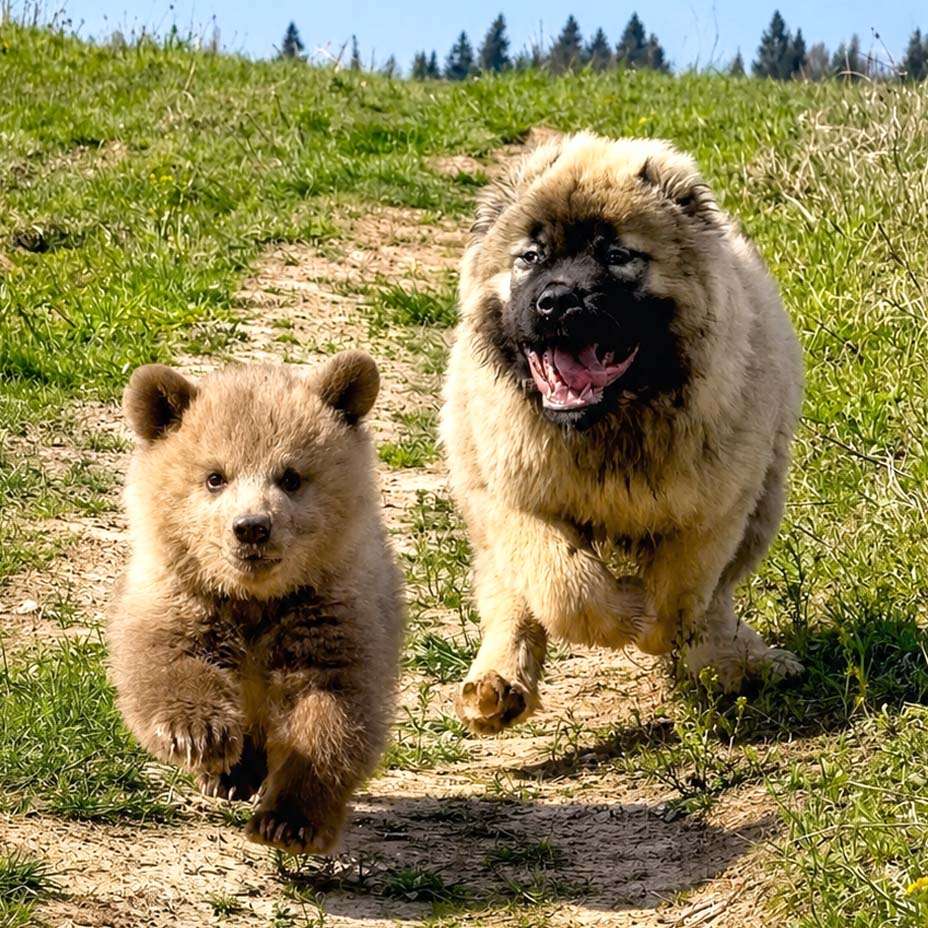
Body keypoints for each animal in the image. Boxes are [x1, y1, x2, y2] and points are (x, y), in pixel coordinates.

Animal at [107, 351, 405, 854]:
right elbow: (167, 660)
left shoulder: (328, 613)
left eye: (291, 476)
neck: (255, 598)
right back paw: (230, 775)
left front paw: (289, 821)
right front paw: (201, 735)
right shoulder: (186, 595)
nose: (251, 527)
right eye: (214, 477)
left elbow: (331, 714)